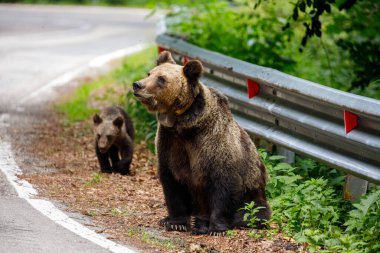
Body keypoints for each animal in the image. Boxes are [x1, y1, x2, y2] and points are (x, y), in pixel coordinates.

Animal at [134, 51, 270, 235]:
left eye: (161, 79)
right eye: (150, 73)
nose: (138, 85)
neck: (182, 124)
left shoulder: (213, 142)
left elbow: (223, 183)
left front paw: (216, 228)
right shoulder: (169, 141)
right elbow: (171, 181)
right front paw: (175, 222)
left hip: (253, 193)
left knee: (253, 212)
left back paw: (204, 223)